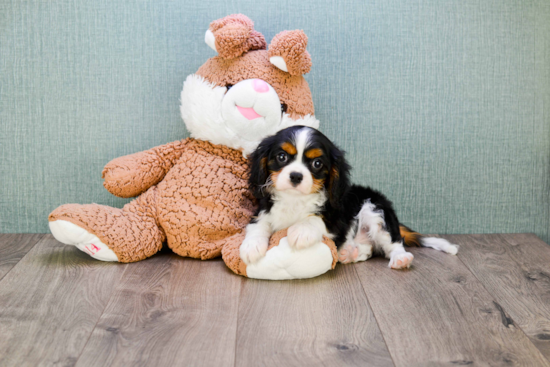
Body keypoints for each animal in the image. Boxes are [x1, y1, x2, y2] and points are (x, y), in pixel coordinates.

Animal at [239, 126, 460, 270]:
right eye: (282, 157)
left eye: (317, 163)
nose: (295, 176)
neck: (295, 200)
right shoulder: (263, 210)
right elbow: (258, 225)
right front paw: (251, 246)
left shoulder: (337, 219)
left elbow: (316, 219)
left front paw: (300, 231)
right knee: (370, 249)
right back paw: (350, 253)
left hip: (374, 210)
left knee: (393, 244)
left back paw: (401, 259)